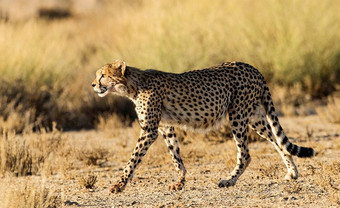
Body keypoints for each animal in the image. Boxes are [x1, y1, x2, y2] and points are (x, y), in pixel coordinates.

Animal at [91, 59, 316, 193]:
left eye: (102, 75)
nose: (93, 85)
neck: (133, 85)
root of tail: (251, 67)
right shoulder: (165, 127)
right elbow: (175, 156)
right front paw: (180, 180)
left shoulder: (149, 130)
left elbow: (133, 159)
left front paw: (119, 185)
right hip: (255, 118)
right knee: (278, 142)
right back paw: (292, 173)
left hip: (238, 115)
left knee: (245, 154)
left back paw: (229, 180)